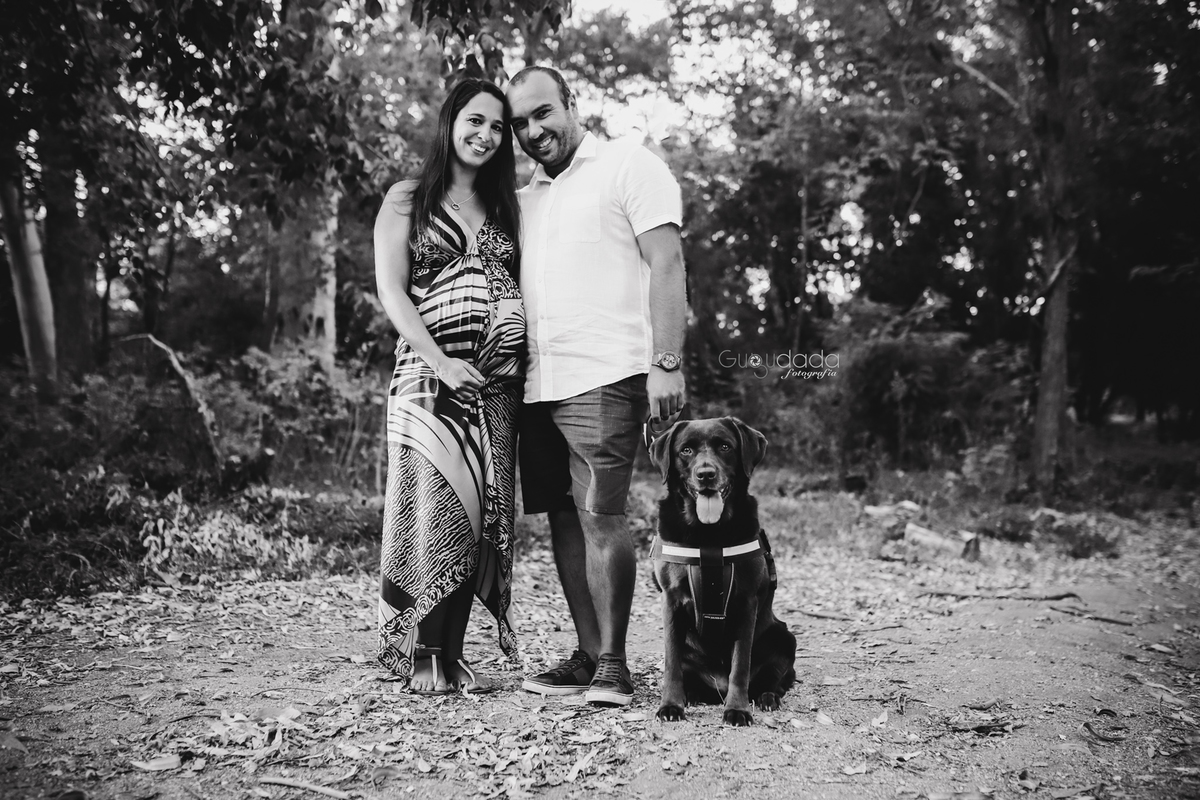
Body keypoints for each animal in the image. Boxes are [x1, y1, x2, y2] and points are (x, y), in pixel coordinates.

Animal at [648, 417, 797, 726]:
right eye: (686, 450)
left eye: (725, 446)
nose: (706, 474)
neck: (709, 535)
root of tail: (717, 686)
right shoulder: (671, 600)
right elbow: (671, 664)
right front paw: (671, 705)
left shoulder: (746, 602)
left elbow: (740, 664)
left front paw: (738, 709)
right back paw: (691, 694)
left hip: (784, 637)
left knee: (772, 680)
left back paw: (767, 698)